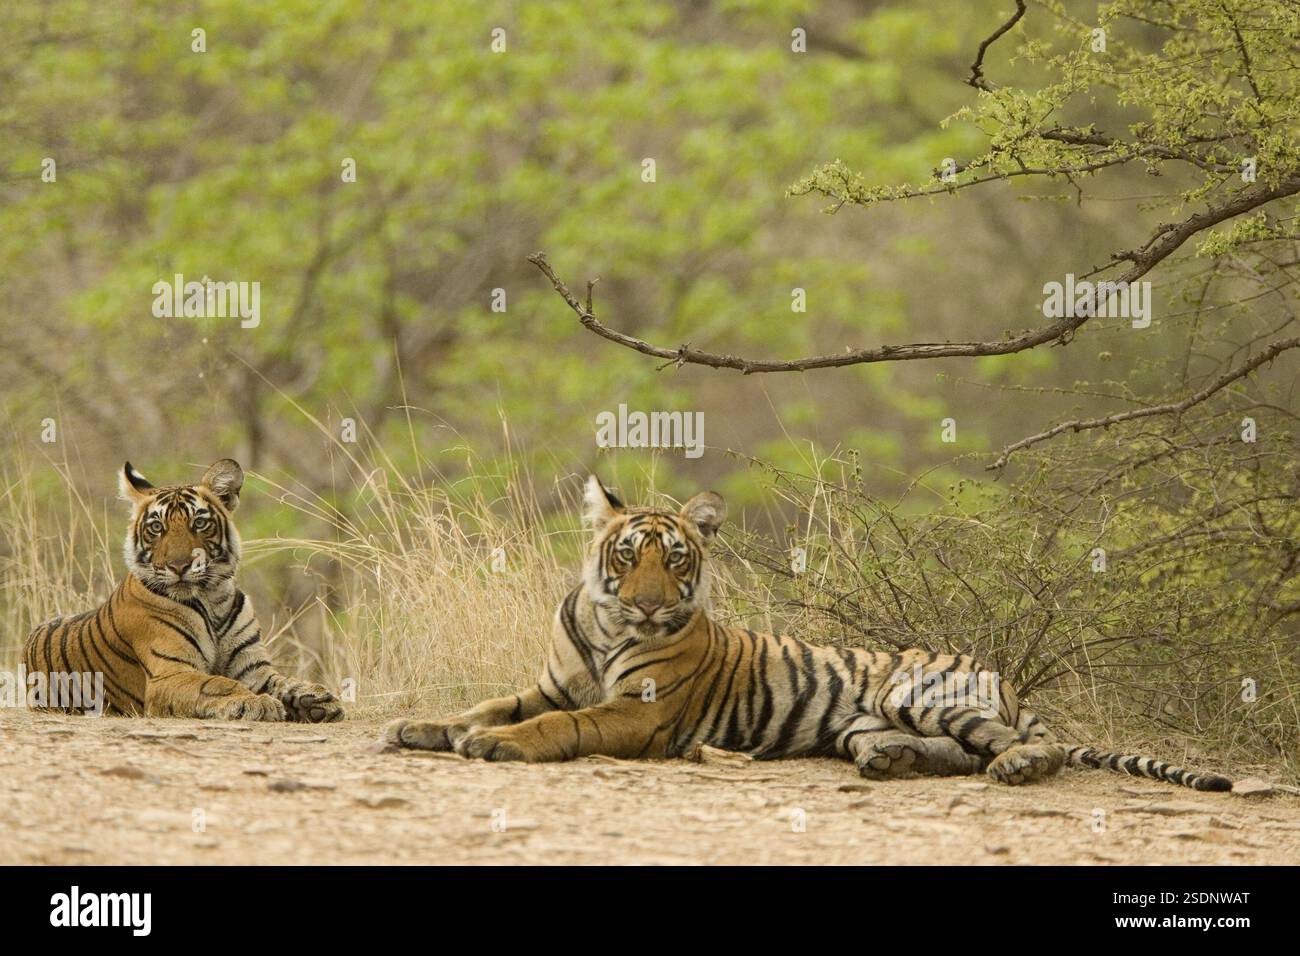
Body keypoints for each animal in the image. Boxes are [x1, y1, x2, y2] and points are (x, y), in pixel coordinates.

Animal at [22, 459, 344, 722]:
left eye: (199, 523)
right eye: (156, 527)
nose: (179, 565)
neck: (213, 598)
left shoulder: (254, 669)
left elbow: (283, 681)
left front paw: (317, 699)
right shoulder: (170, 674)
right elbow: (217, 683)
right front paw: (256, 703)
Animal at [384, 475, 1231, 792]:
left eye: (675, 558)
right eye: (628, 555)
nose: (652, 606)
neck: (605, 622)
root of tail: (1003, 674)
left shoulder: (638, 710)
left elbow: (558, 725)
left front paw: (496, 746)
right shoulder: (549, 682)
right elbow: (487, 705)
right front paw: (420, 727)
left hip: (919, 691)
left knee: (1018, 747)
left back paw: (1017, 765)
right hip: (873, 718)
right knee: (950, 752)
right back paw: (891, 761)